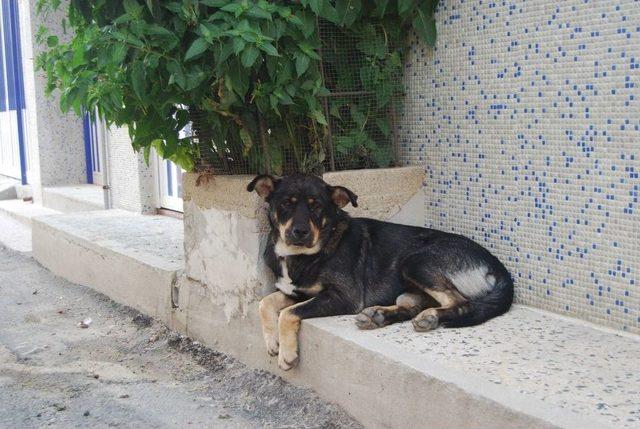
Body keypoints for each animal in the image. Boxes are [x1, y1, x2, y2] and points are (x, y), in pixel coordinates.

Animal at [248, 172, 512, 370]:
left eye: (317, 207)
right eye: (286, 203)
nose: (300, 232)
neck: (304, 255)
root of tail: (497, 265)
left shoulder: (344, 297)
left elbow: (288, 313)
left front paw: (287, 353)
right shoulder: (296, 291)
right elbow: (265, 303)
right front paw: (272, 341)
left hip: (415, 262)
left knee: (461, 303)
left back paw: (429, 316)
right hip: (410, 284)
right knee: (412, 305)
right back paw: (380, 315)